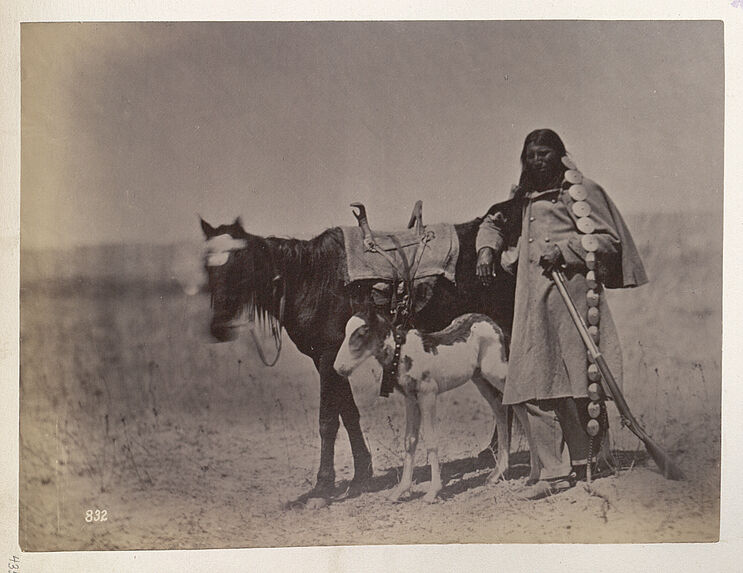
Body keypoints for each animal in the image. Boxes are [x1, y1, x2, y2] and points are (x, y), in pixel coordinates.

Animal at [201, 211, 516, 500]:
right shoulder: (328, 360)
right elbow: (349, 414)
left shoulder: (328, 357)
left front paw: (322, 486)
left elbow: (328, 421)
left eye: (240, 263)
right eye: (206, 267)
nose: (219, 328)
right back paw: (492, 454)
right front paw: (361, 475)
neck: (312, 280)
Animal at [336, 310, 540, 502]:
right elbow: (409, 440)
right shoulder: (411, 399)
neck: (401, 353)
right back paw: (497, 473)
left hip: (496, 373)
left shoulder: (428, 395)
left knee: (518, 403)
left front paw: (433, 492)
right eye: (345, 332)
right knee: (500, 407)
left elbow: (431, 441)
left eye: (363, 331)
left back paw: (533, 469)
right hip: (480, 378)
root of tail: (494, 325)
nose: (339, 368)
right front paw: (400, 491)